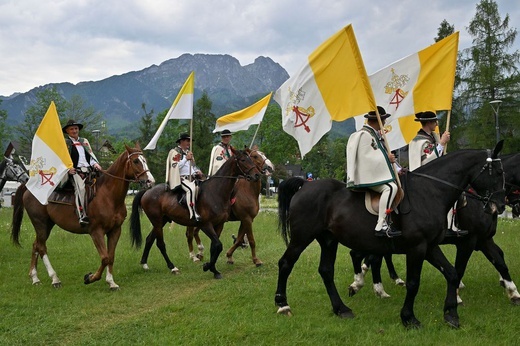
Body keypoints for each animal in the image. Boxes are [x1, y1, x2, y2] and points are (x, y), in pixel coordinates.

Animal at [10, 145, 154, 290]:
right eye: (136, 161)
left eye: (145, 160)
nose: (150, 181)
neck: (108, 196)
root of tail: (28, 187)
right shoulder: (96, 232)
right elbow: (105, 258)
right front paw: (90, 278)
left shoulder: (115, 230)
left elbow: (111, 256)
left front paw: (111, 282)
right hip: (41, 224)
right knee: (41, 247)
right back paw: (55, 279)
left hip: (47, 225)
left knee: (36, 245)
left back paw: (35, 278)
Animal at [128, 148, 262, 278]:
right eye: (243, 160)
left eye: (251, 159)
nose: (257, 175)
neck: (216, 192)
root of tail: (147, 191)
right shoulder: (206, 225)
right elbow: (219, 245)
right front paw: (208, 266)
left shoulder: (219, 224)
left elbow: (215, 247)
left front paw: (212, 268)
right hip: (157, 222)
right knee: (160, 243)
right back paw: (173, 267)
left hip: (161, 222)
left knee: (149, 239)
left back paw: (144, 264)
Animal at [350, 153, 520, 304]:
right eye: (498, 173)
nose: (501, 206)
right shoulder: (469, 241)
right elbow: (460, 268)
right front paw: (456, 295)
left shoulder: (484, 239)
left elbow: (500, 260)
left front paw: (513, 292)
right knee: (369, 257)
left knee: (371, 257)